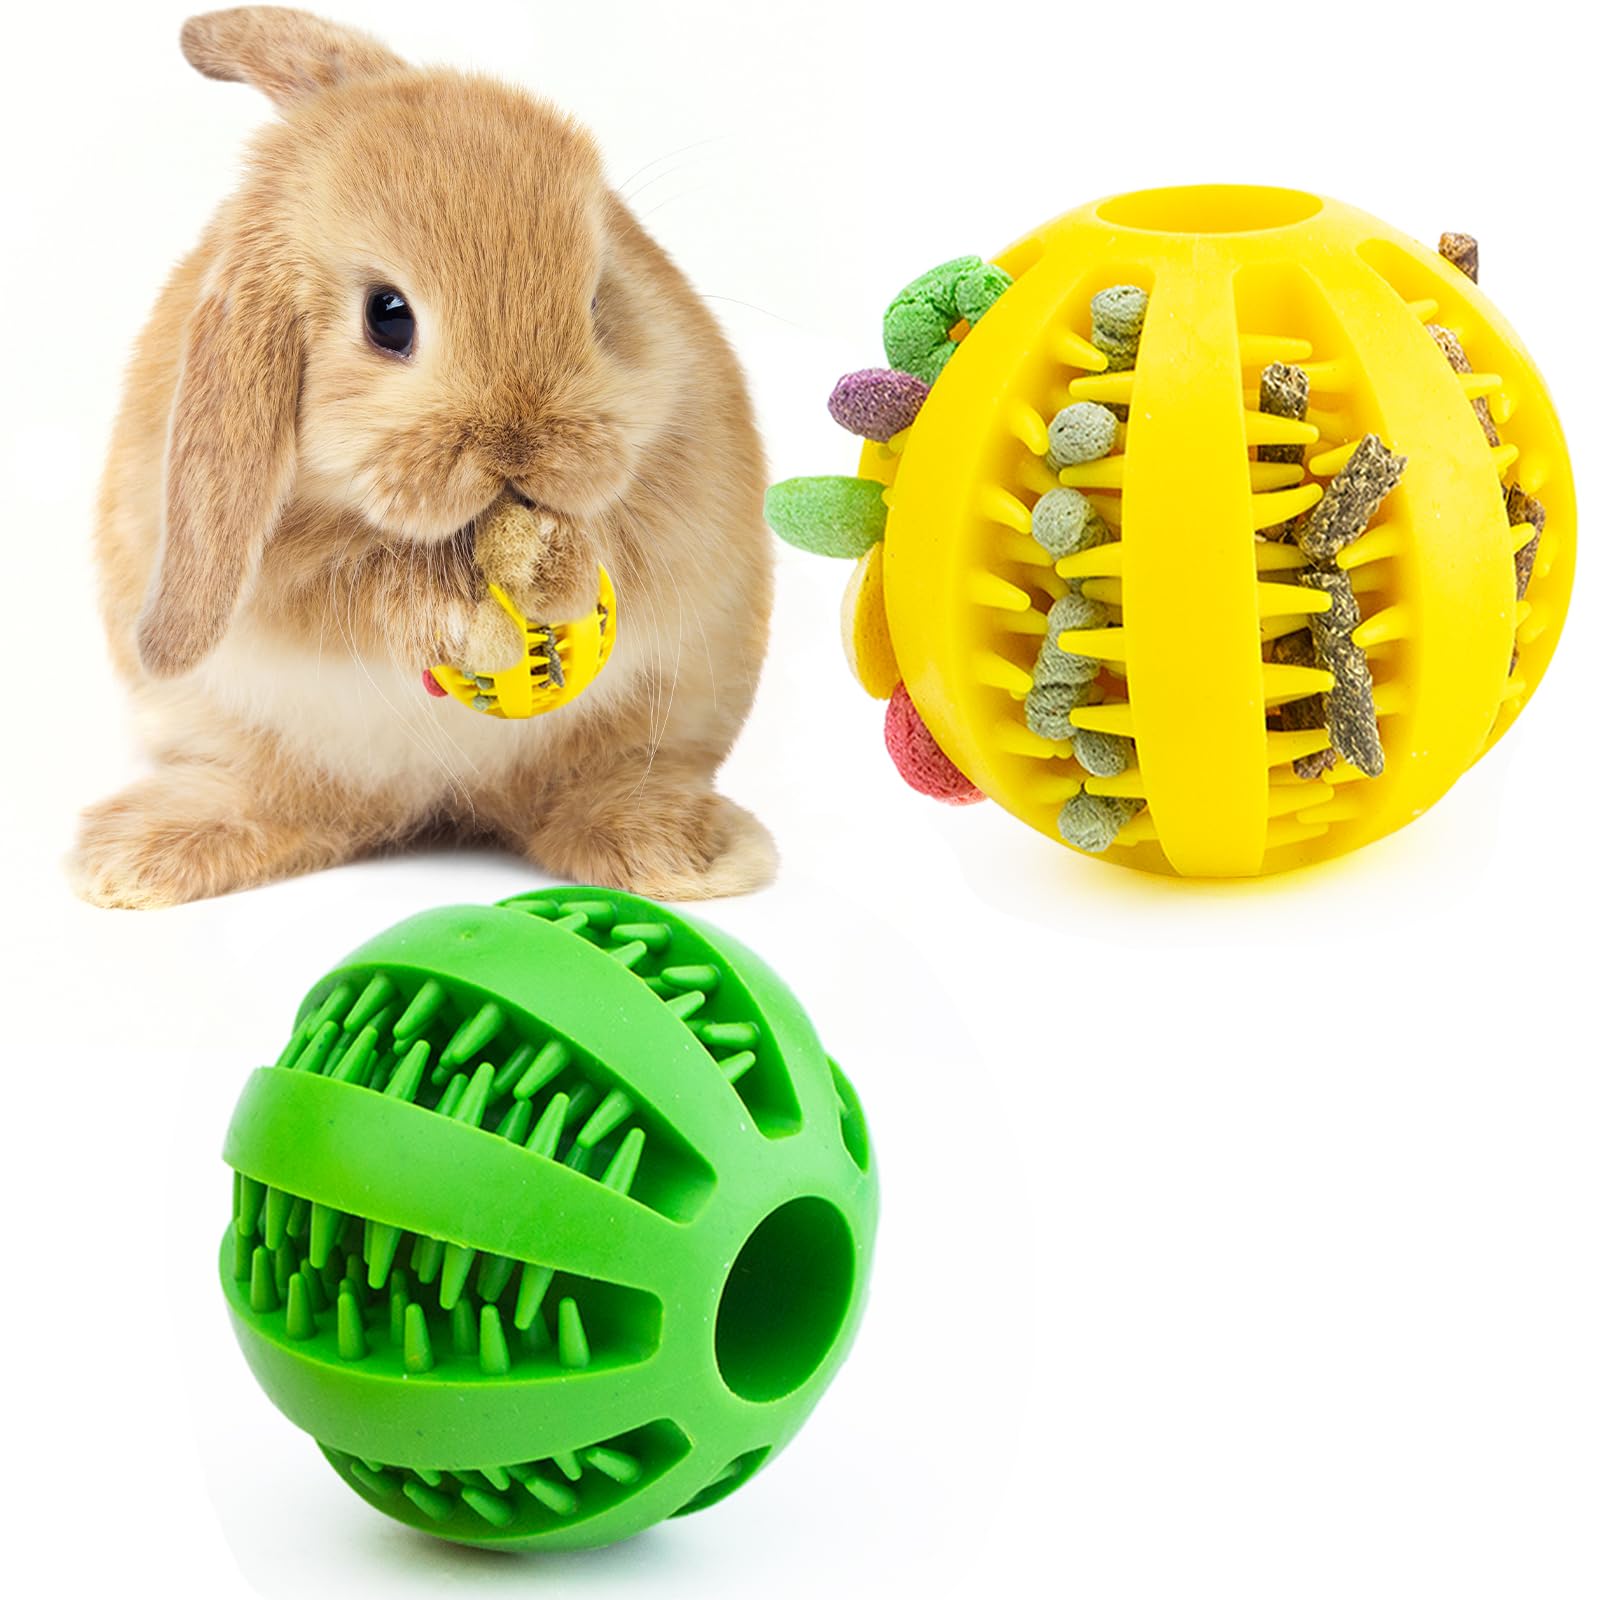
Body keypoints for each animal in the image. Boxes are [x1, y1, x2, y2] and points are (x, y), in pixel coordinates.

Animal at [73, 6, 777, 909]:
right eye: (387, 316)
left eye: (597, 301)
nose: (523, 445)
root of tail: (448, 802)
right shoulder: (292, 580)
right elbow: (356, 587)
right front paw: (471, 612)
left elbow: (623, 540)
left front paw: (552, 571)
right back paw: (136, 858)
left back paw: (680, 850)